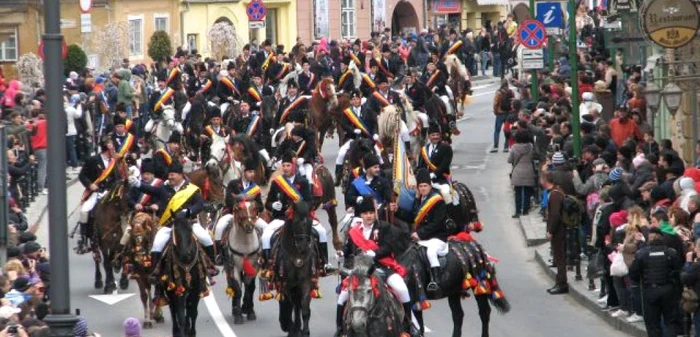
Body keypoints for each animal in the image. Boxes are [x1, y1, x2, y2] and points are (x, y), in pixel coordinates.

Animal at [274, 201, 316, 334]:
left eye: (311, 221)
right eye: (296, 222)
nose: (304, 247)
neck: (296, 254)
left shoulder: (305, 281)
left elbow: (304, 307)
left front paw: (305, 331)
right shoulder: (286, 282)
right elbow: (288, 305)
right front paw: (290, 328)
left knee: (297, 303)